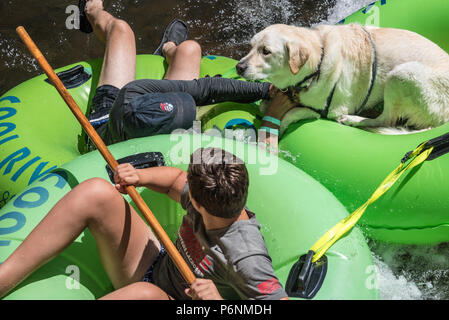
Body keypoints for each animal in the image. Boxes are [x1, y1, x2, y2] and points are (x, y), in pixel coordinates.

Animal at [236, 23, 448, 135]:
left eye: (266, 51)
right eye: (251, 46)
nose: (239, 67)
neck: (318, 63)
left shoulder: (327, 111)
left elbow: (291, 113)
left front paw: (277, 129)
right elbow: (265, 105)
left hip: (402, 74)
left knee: (386, 118)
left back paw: (355, 120)